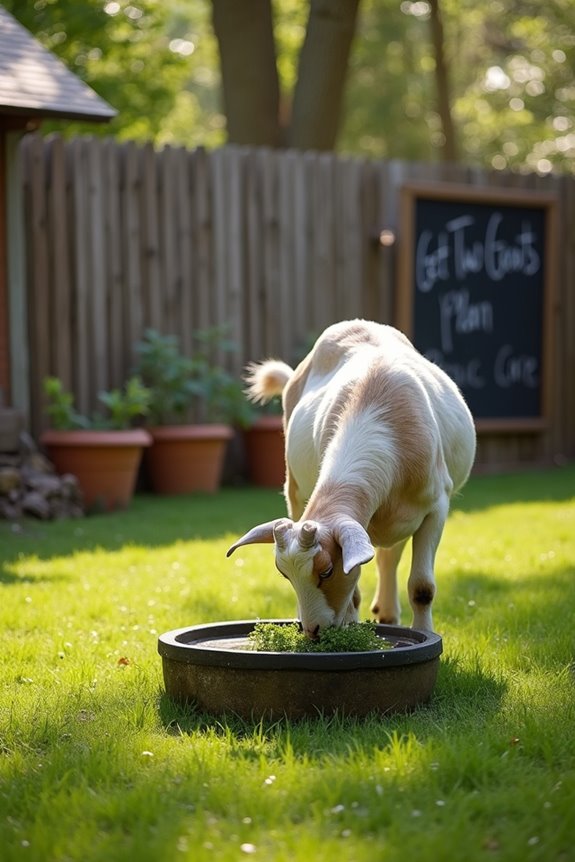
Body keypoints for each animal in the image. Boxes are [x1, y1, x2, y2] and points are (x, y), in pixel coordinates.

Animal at [227, 319, 476, 636]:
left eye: (327, 571)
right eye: (284, 574)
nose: (313, 631)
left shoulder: (436, 508)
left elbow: (422, 588)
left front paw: (425, 633)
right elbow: (354, 592)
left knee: (389, 556)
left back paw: (388, 613)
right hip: (295, 489)